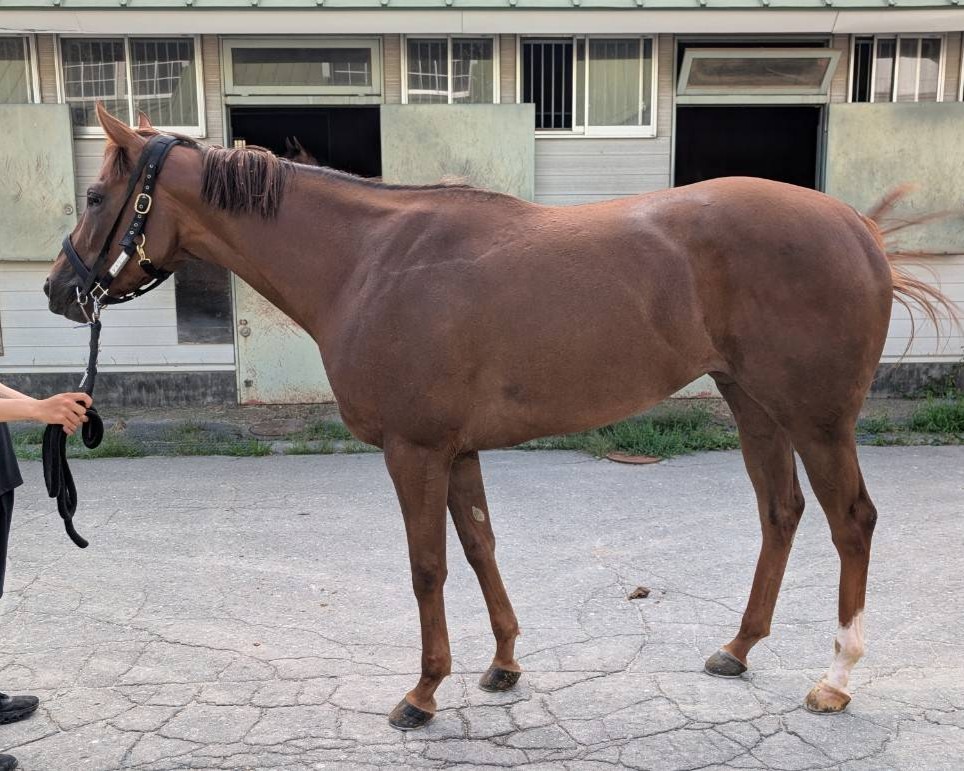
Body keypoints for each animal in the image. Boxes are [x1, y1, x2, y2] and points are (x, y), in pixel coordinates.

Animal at [45, 103, 957, 730]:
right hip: (751, 403)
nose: (59, 289)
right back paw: (738, 648)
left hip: (817, 419)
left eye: (95, 193)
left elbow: (428, 566)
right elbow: (481, 546)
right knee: (780, 512)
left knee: (850, 521)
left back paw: (836, 679)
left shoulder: (413, 450)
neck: (369, 262)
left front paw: (422, 692)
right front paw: (504, 664)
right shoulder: (458, 450)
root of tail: (857, 227)